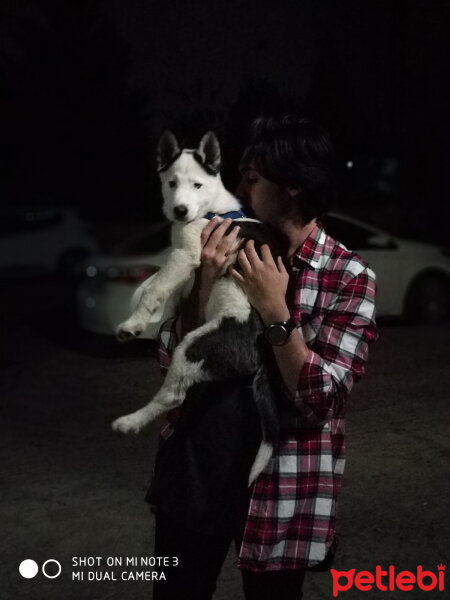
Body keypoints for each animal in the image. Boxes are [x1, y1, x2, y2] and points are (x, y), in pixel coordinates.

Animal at [111, 131, 284, 482]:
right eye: (171, 183)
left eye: (198, 185)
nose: (179, 211)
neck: (209, 210)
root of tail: (259, 354)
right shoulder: (185, 262)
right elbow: (151, 285)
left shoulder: (187, 255)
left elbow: (154, 289)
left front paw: (134, 323)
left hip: (195, 346)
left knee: (172, 395)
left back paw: (131, 421)